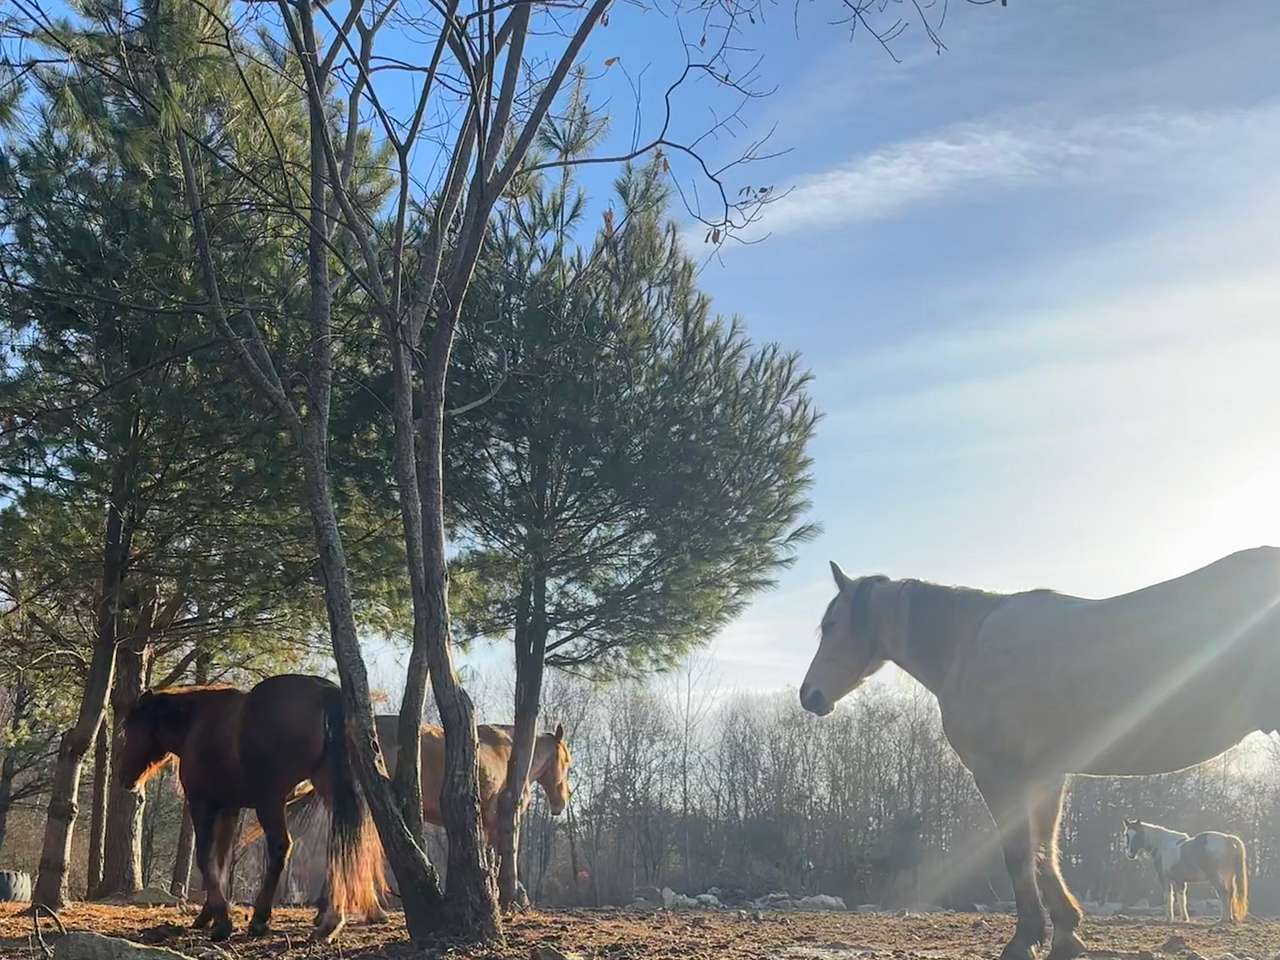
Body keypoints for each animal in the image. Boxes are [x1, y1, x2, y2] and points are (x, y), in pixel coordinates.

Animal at [119, 674, 383, 942]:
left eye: (129, 730)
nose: (124, 778)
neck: (197, 723)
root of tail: (325, 692)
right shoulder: (229, 809)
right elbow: (221, 862)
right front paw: (208, 916)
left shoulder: (203, 804)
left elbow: (205, 859)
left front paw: (222, 922)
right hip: (329, 792)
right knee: (341, 848)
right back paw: (331, 921)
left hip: (270, 803)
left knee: (281, 848)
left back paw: (260, 919)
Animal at [799, 547, 1280, 960]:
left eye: (832, 624)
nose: (810, 695)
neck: (970, 642)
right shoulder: (1047, 775)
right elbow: (1046, 851)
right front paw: (1066, 933)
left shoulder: (999, 774)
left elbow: (1019, 853)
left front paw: (1026, 939)